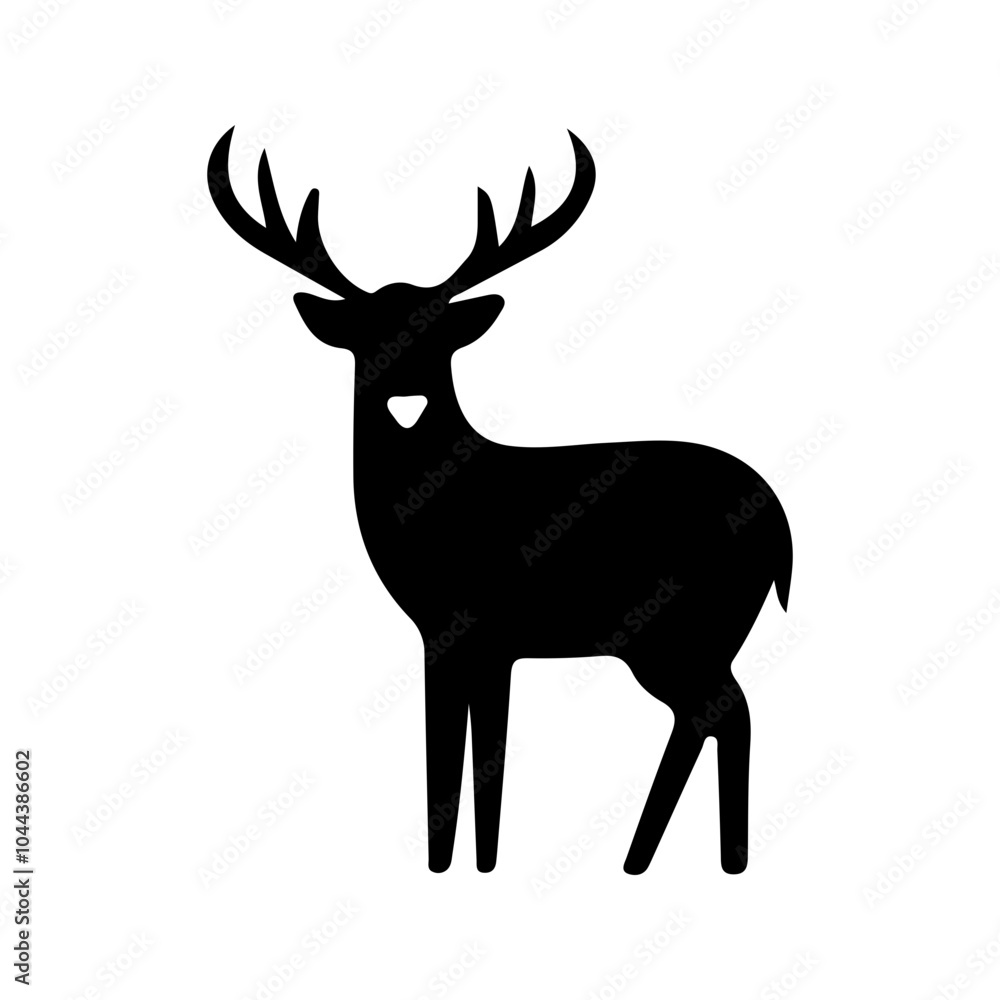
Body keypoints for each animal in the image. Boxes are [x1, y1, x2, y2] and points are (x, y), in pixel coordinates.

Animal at [208, 126, 793, 876]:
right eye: (366, 335)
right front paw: (465, 864)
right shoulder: (465, 637)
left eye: (438, 334)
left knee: (727, 711)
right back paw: (660, 857)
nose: (405, 398)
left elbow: (468, 753)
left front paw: (461, 867)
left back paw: (694, 858)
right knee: (714, 713)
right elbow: (470, 752)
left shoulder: (474, 626)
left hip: (683, 624)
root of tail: (780, 525)